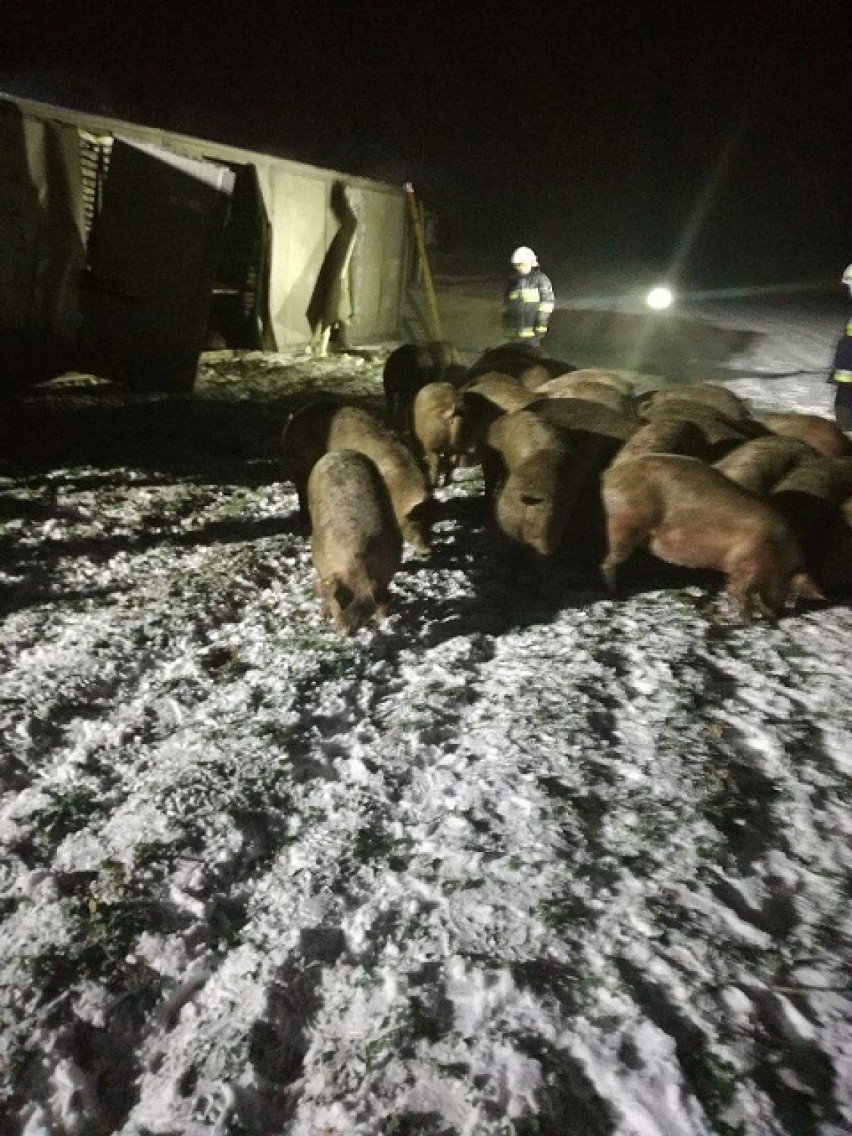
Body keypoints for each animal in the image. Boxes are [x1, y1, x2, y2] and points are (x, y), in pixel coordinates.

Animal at [284, 399, 436, 554]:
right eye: (415, 520)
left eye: (431, 521)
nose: (428, 550)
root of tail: (295, 417)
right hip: (299, 469)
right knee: (301, 495)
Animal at [306, 449, 404, 631]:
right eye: (341, 601)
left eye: (366, 610)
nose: (346, 629)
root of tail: (340, 452)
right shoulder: (319, 559)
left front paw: (384, 620)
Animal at [595, 452, 822, 617]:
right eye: (789, 588)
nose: (777, 614)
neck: (779, 555)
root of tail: (609, 474)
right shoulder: (747, 563)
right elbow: (739, 591)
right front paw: (744, 618)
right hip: (624, 522)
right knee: (609, 562)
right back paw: (616, 595)